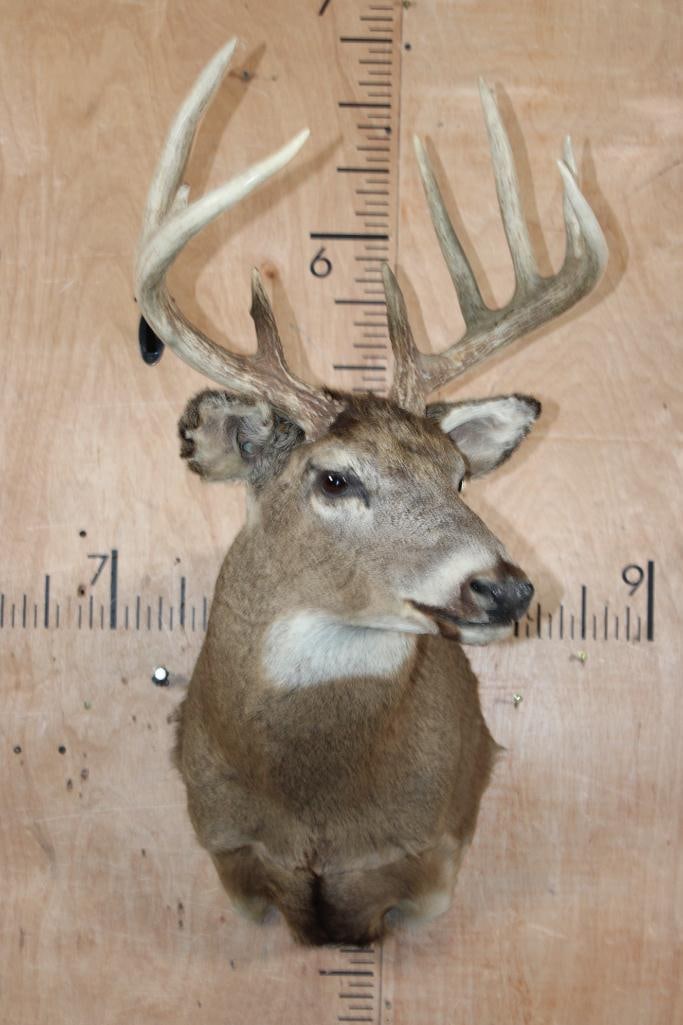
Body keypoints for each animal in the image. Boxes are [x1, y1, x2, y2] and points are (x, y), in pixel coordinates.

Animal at [135, 39, 607, 946]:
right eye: (334, 476)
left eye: (457, 474)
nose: (504, 587)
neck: (315, 807)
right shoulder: (227, 846)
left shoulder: (428, 853)